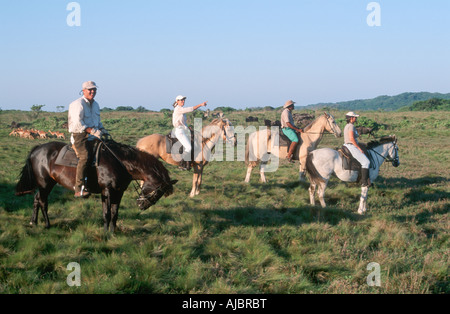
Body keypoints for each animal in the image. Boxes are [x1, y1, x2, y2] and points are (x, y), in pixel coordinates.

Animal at [15, 141, 178, 232]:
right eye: (157, 191)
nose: (141, 205)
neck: (120, 162)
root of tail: (36, 149)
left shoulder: (118, 192)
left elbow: (114, 213)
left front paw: (113, 231)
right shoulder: (107, 191)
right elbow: (106, 213)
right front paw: (106, 233)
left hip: (46, 184)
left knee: (36, 199)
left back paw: (34, 222)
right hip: (45, 184)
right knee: (43, 201)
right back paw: (47, 225)